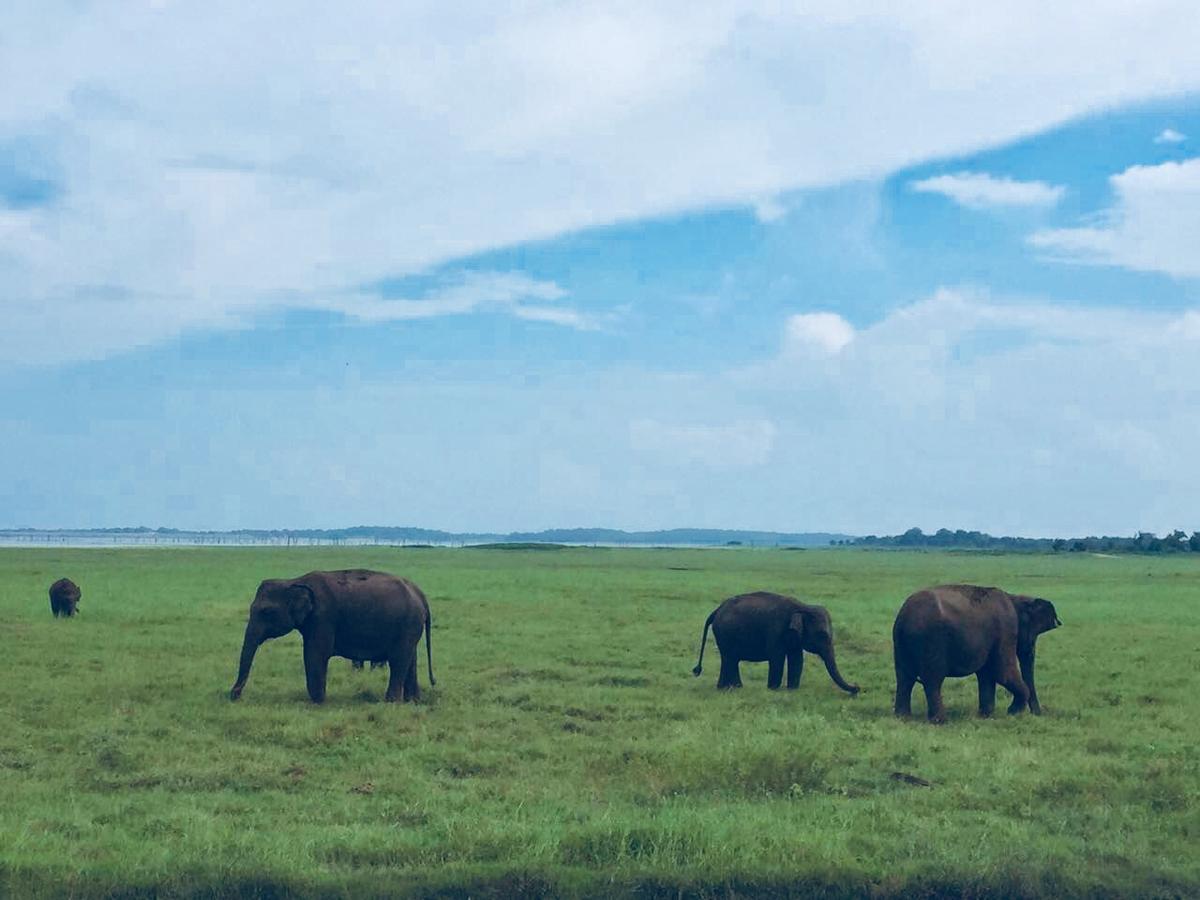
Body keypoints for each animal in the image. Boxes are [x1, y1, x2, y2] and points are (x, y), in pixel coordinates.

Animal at [226, 571, 434, 705]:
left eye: (266, 612)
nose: (234, 695)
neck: (293, 581)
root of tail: (421, 595)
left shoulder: (323, 618)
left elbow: (315, 654)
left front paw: (317, 702)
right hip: (410, 627)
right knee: (410, 660)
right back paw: (413, 701)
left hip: (408, 624)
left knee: (399, 660)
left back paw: (391, 702)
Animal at [696, 592, 864, 696]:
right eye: (822, 635)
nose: (857, 687)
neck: (802, 607)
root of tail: (717, 610)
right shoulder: (775, 630)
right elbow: (776, 658)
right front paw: (773, 690)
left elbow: (797, 659)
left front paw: (792, 690)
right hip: (724, 634)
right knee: (730, 658)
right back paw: (731, 688)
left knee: (730, 659)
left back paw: (729, 688)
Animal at [892, 585, 1060, 724]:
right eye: (1033, 635)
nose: (1037, 714)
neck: (1015, 598)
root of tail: (904, 617)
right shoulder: (1006, 629)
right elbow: (1003, 673)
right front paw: (1012, 712)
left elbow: (986, 674)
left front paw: (986, 716)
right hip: (932, 641)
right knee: (932, 680)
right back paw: (940, 721)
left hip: (901, 644)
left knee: (904, 678)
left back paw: (903, 717)